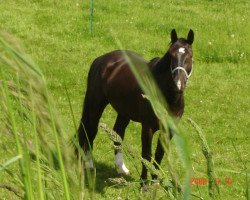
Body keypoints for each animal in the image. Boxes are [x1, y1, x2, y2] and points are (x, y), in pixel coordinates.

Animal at [77, 28, 194, 184]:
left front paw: (156, 180)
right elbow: (146, 155)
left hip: (124, 111)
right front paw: (144, 183)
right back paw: (89, 164)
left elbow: (159, 154)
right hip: (95, 105)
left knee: (117, 133)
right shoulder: (148, 127)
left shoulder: (169, 129)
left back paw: (121, 168)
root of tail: (102, 59)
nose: (179, 85)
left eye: (190, 56)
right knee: (90, 130)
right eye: (171, 55)